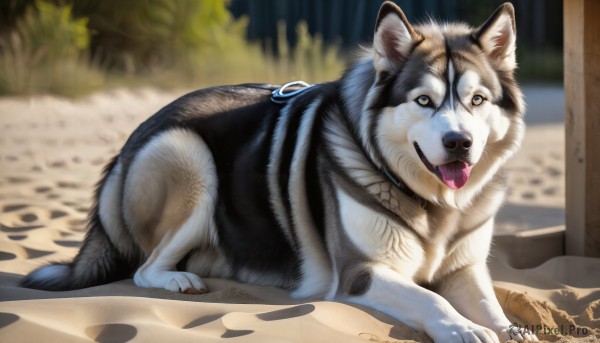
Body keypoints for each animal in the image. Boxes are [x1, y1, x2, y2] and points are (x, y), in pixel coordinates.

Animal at [24, 2, 540, 343]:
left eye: (477, 100)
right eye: (424, 100)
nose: (459, 143)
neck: (432, 201)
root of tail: (131, 141)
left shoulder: (466, 268)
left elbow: (490, 305)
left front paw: (509, 328)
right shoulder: (361, 272)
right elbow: (429, 298)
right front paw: (462, 328)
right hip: (187, 156)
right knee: (144, 269)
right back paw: (176, 280)